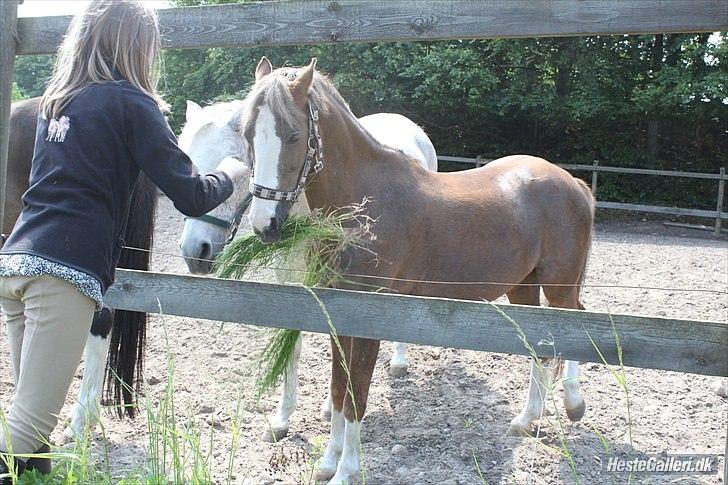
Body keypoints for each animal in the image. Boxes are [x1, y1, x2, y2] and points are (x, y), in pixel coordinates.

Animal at [242, 58, 596, 482]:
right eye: (246, 133)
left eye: (294, 135)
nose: (265, 225)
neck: (365, 206)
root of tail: (573, 182)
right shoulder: (338, 318)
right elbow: (339, 390)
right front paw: (328, 462)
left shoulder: (368, 319)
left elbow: (356, 397)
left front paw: (346, 470)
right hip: (523, 287)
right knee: (542, 348)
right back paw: (526, 421)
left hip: (560, 284)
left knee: (575, 326)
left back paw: (573, 404)